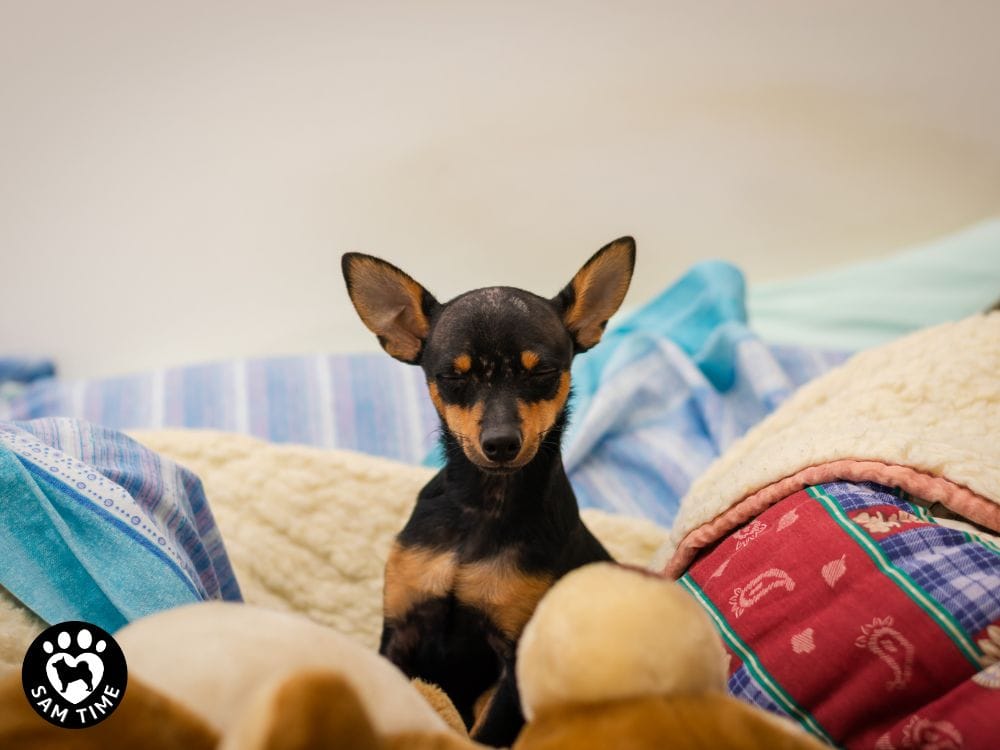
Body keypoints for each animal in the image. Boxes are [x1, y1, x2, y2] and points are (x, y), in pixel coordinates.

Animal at [342, 239, 632, 748]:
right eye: (454, 377)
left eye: (543, 373)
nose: (500, 443)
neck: (482, 505)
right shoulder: (399, 629)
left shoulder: (512, 663)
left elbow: (485, 734)